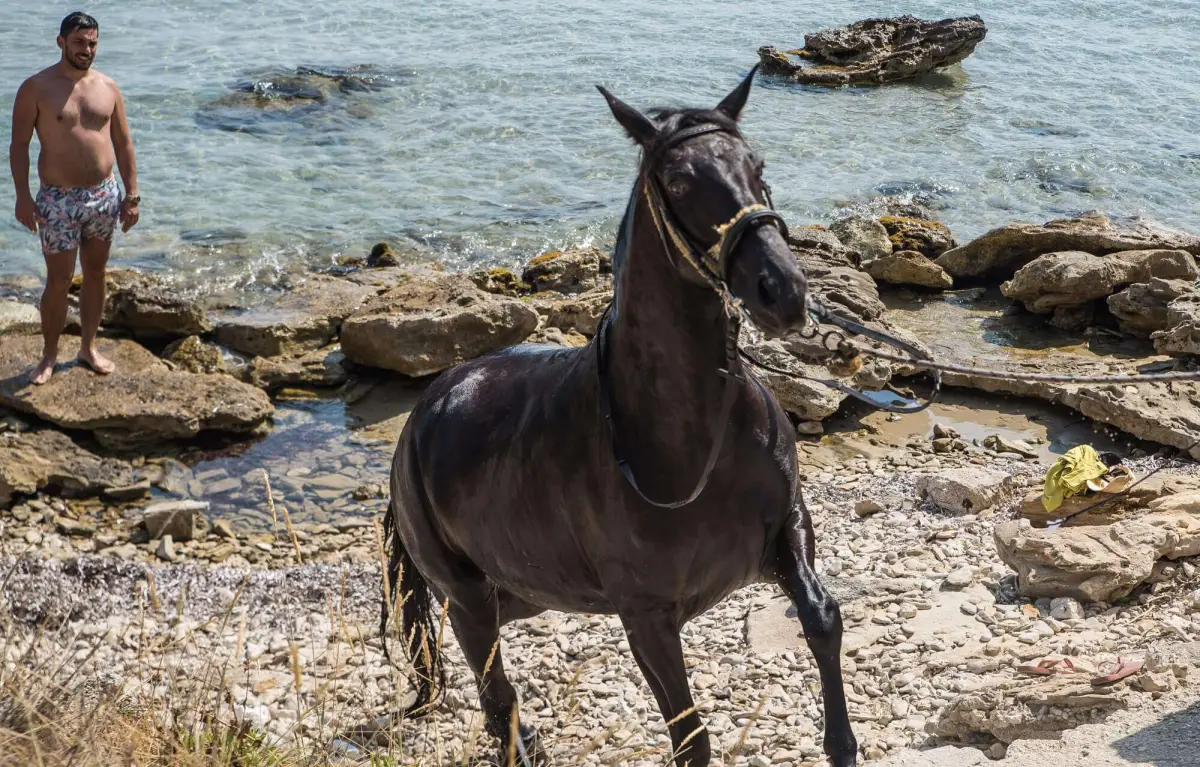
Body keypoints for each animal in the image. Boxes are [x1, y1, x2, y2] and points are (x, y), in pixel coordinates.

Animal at [380, 65, 857, 767]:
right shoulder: (646, 616)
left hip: (517, 591)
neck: (694, 439)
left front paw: (843, 744)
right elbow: (691, 738)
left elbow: (822, 619)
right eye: (679, 182)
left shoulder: (788, 530)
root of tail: (422, 416)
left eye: (757, 165)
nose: (784, 290)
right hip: (467, 598)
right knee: (496, 694)